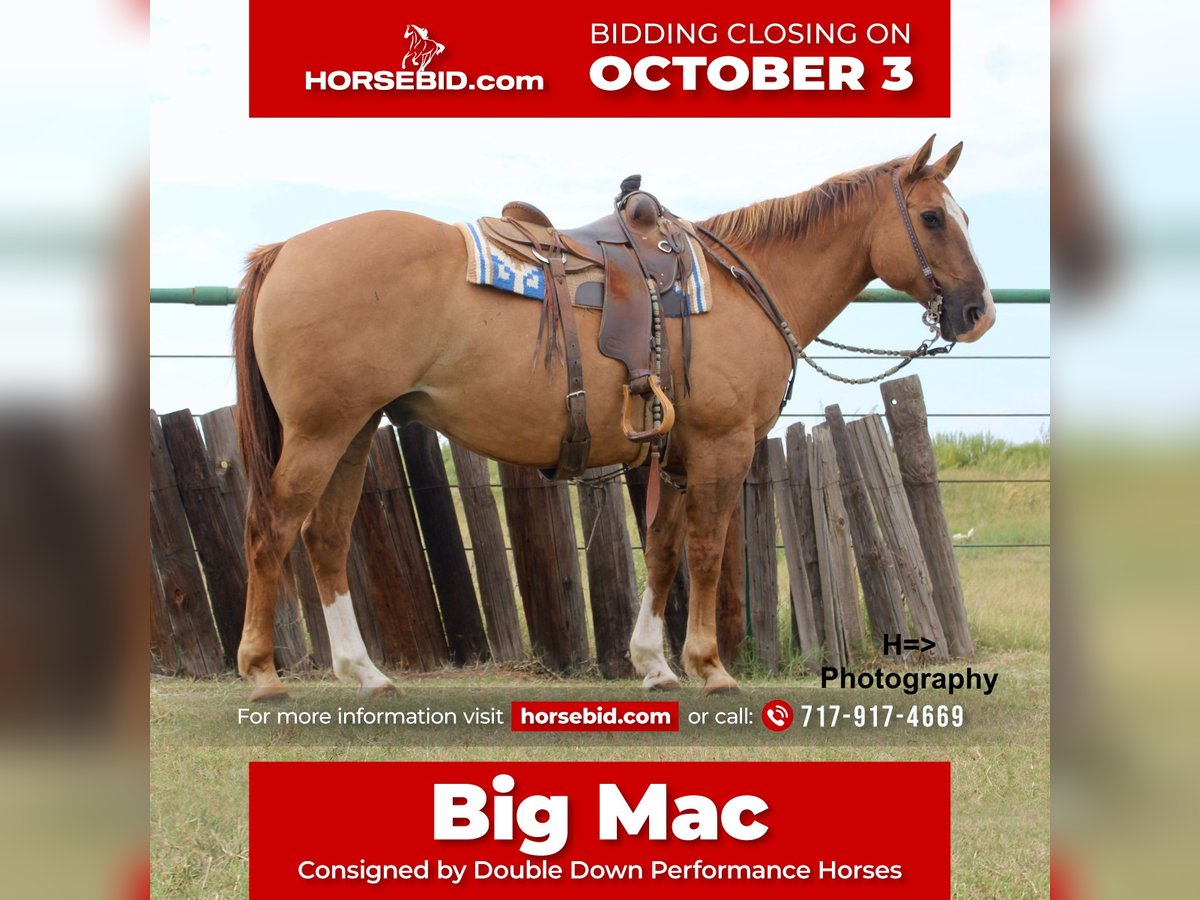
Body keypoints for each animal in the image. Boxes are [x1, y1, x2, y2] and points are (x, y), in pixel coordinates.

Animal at [232, 135, 995, 702]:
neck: (743, 287)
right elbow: (706, 552)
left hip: (353, 431)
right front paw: (710, 666)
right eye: (933, 218)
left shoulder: (676, 458)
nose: (977, 312)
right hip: (320, 433)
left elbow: (662, 553)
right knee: (272, 532)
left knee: (325, 538)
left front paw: (655, 664)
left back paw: (366, 674)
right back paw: (264, 674)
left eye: (964, 217)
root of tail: (285, 249)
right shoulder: (721, 449)